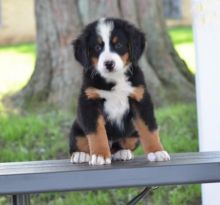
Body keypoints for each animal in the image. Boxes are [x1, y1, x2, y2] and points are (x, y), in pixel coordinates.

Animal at [69, 17, 169, 165]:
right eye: (97, 47)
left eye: (119, 45)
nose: (109, 64)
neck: (114, 79)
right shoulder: (89, 102)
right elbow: (96, 133)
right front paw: (99, 155)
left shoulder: (141, 99)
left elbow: (149, 129)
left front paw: (157, 151)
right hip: (76, 128)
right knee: (79, 142)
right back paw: (80, 154)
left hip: (133, 134)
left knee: (121, 145)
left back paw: (122, 152)